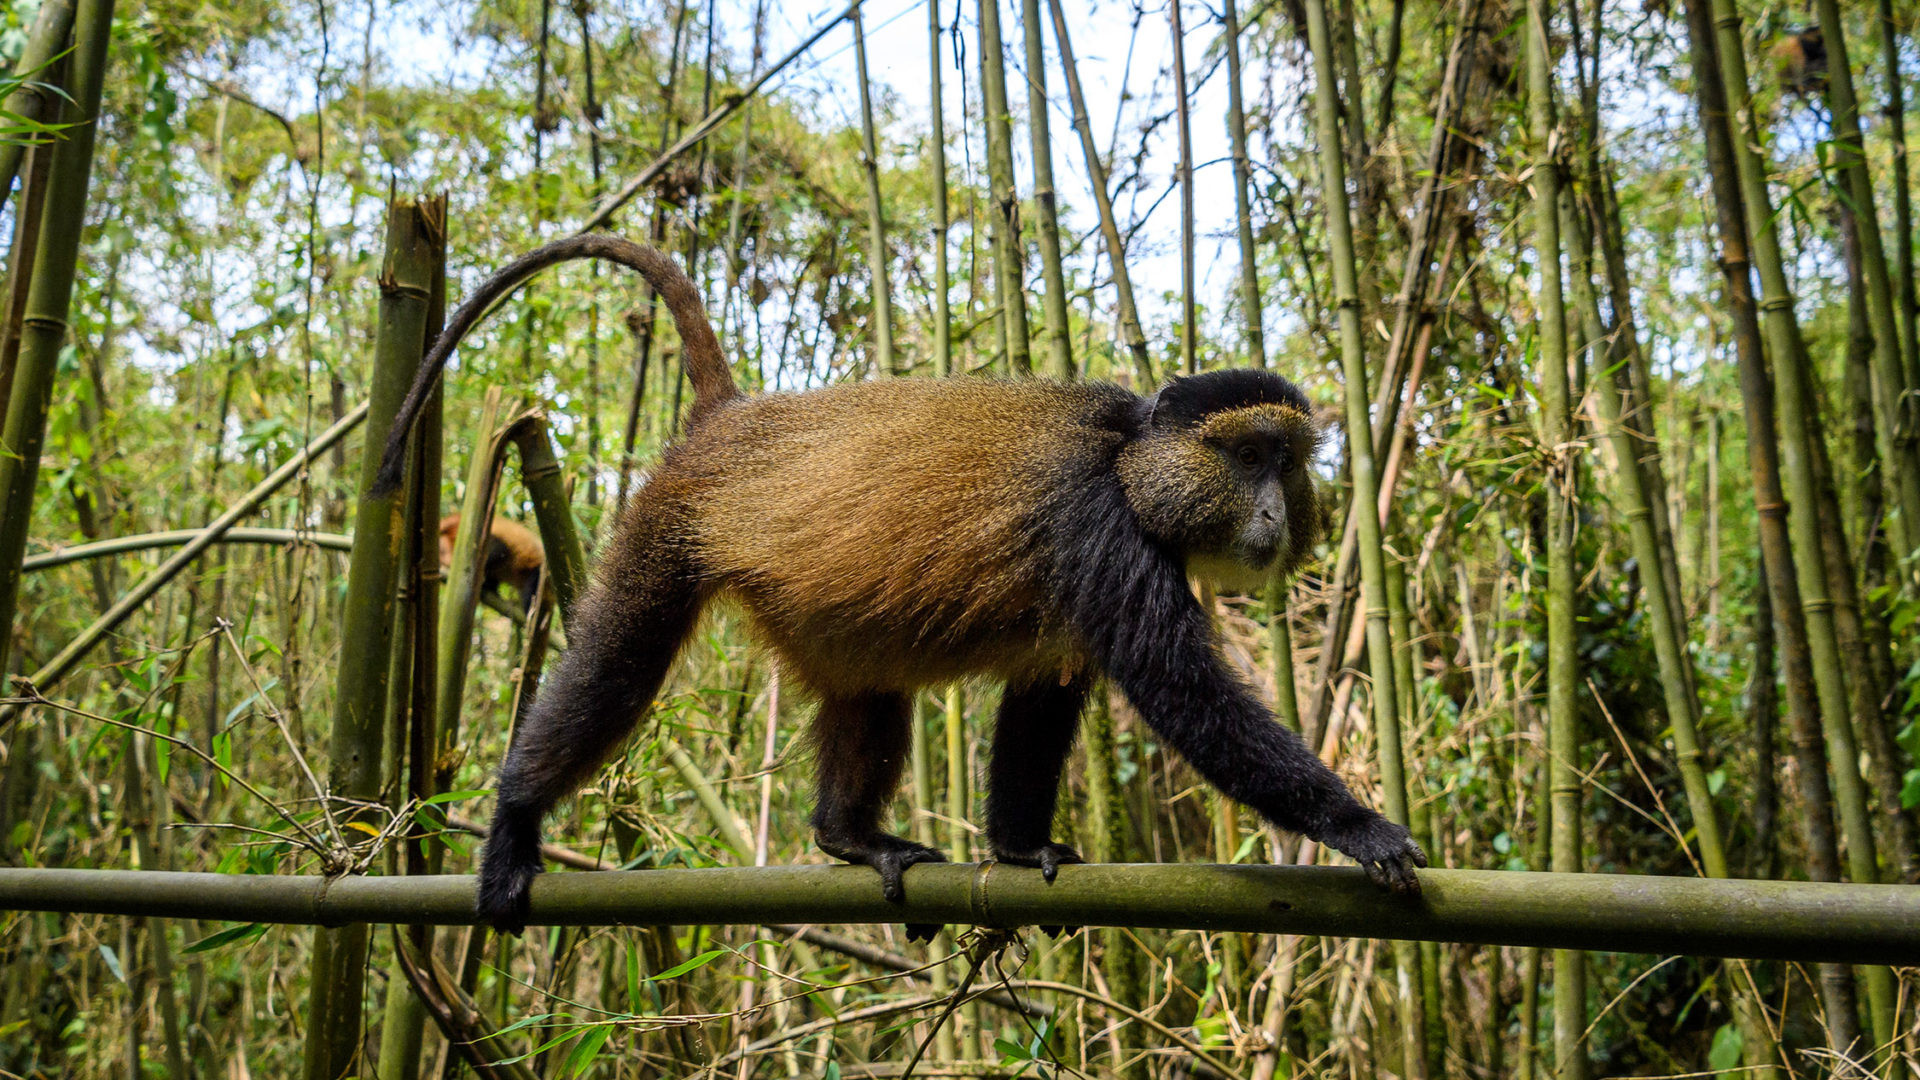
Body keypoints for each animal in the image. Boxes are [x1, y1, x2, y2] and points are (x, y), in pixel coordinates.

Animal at [373, 235, 1427, 935]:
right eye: (1247, 456)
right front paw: (1360, 826)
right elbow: (1186, 695)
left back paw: (850, 838)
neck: (1132, 463)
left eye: (1287, 463)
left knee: (869, 693)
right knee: (615, 670)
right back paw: (515, 821)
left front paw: (1018, 850)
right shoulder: (1100, 530)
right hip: (666, 534)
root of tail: (730, 421)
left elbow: (1043, 703)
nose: (1275, 512)